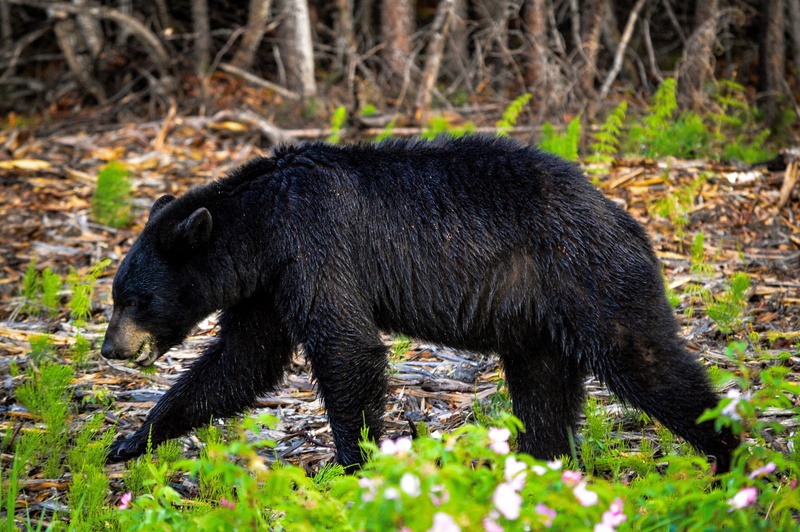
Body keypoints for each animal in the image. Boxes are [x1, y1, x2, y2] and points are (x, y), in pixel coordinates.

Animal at [101, 135, 738, 472]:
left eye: (136, 298)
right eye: (116, 295)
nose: (110, 349)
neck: (260, 227)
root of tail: (628, 219)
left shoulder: (315, 246)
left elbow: (346, 347)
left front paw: (353, 467)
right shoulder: (269, 285)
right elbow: (242, 360)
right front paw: (130, 441)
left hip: (589, 277)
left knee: (645, 357)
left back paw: (727, 455)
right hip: (537, 321)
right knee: (542, 396)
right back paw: (543, 469)